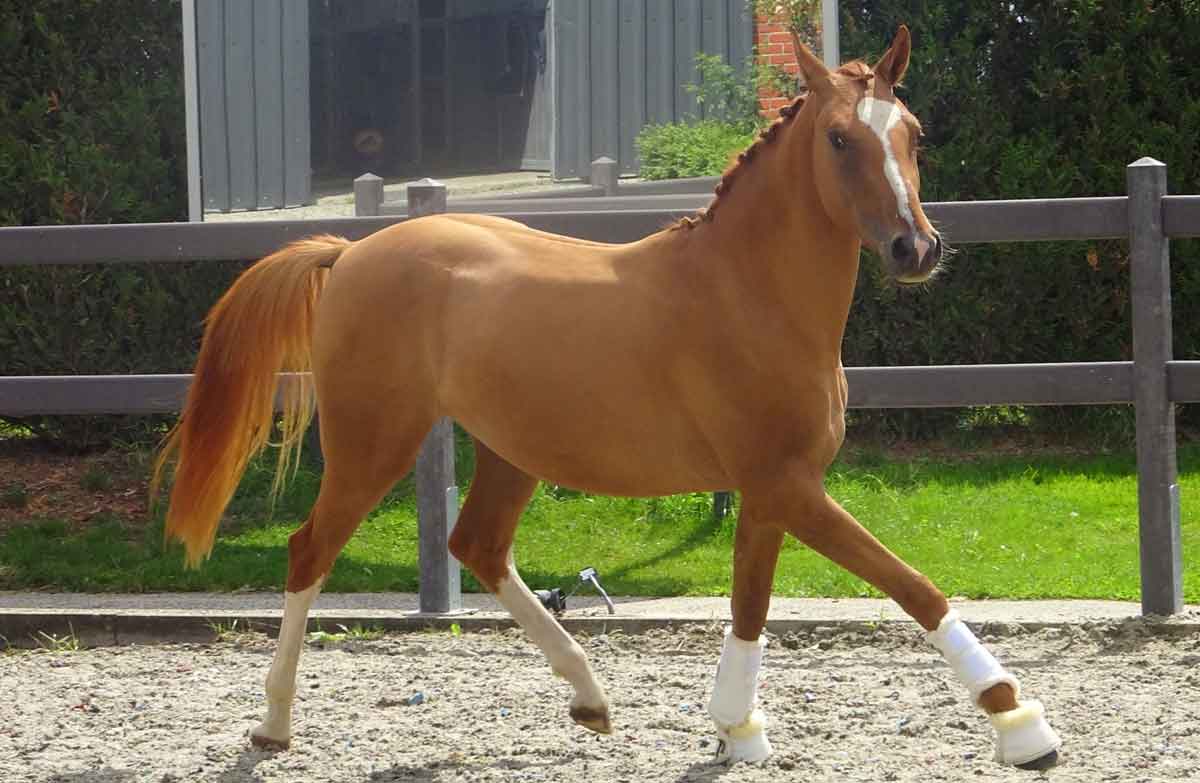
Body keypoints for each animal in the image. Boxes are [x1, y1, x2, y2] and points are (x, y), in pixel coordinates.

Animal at [153, 26, 1061, 770]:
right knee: (310, 550)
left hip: (509, 449)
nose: (917, 249)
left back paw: (590, 697)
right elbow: (912, 585)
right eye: (839, 137)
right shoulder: (788, 486)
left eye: (912, 133)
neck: (749, 295)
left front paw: (737, 727)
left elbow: (750, 605)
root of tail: (349, 252)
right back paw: (272, 724)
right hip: (373, 442)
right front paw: (1019, 721)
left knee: (477, 545)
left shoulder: (769, 492)